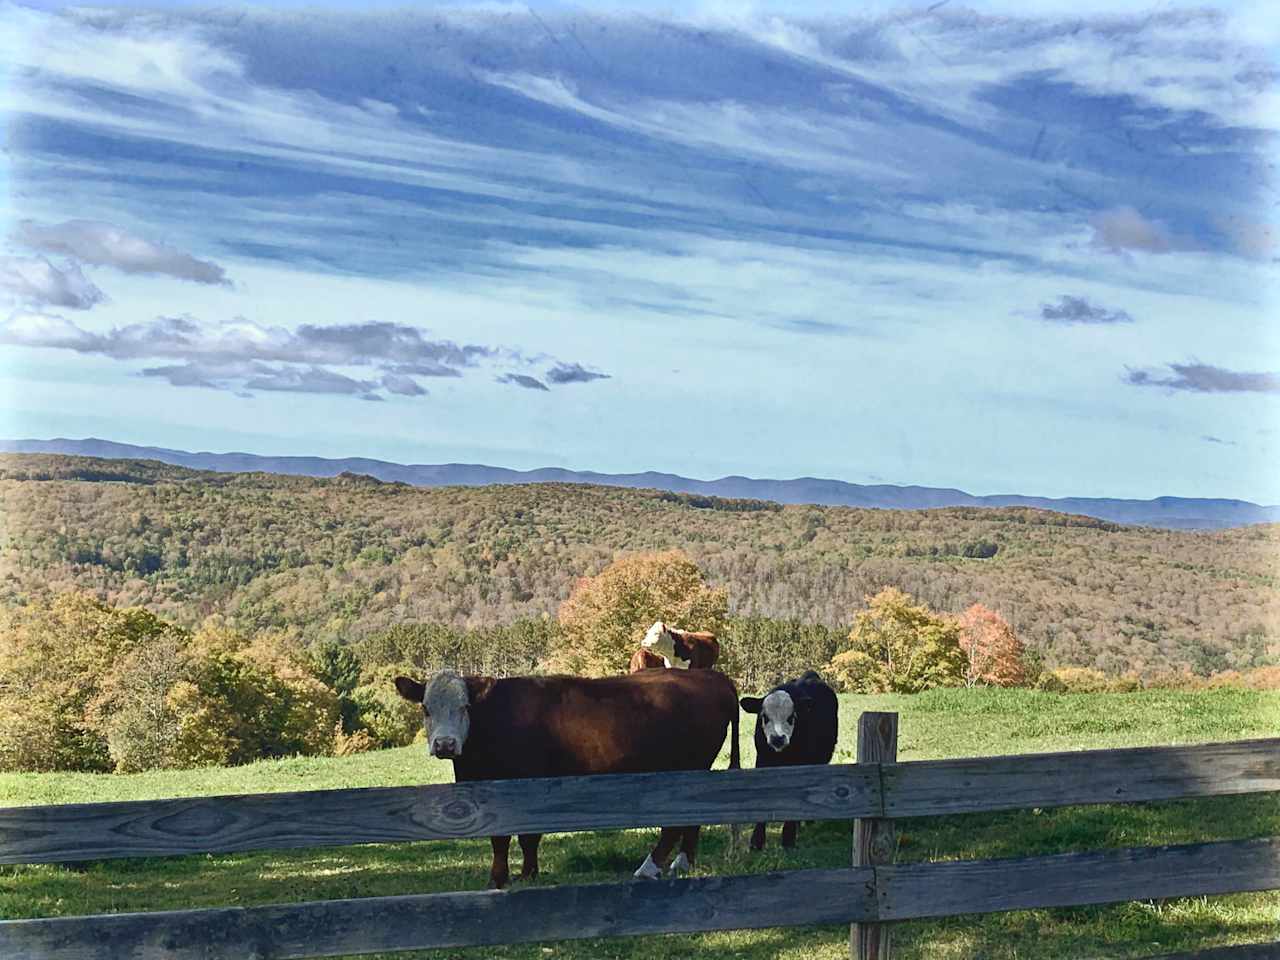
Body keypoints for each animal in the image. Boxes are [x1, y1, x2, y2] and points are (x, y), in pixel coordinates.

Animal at [742, 670, 839, 855]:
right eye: (764, 717)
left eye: (791, 717)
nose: (778, 738)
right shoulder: (762, 761)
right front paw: (756, 842)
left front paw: (788, 839)